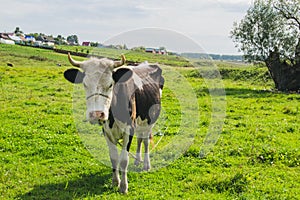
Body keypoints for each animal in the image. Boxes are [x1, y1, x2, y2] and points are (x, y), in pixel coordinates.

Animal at [63, 53, 164, 194]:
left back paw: (146, 164)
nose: (97, 114)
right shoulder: (107, 132)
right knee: (140, 139)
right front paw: (115, 181)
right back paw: (138, 161)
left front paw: (123, 186)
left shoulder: (129, 129)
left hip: (150, 120)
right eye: (85, 84)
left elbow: (124, 160)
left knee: (145, 140)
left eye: (111, 84)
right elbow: (114, 158)